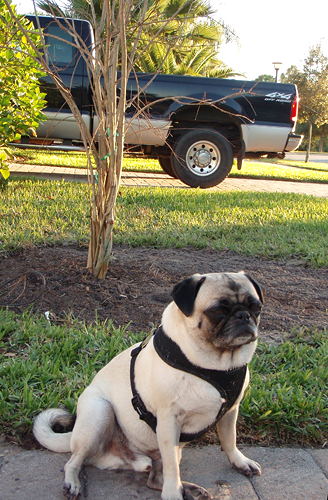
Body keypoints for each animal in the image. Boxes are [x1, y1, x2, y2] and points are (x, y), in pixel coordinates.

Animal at [33, 272, 264, 500]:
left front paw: (239, 461)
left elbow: (229, 440)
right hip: (99, 414)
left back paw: (190, 489)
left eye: (256, 307)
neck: (217, 365)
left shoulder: (230, 411)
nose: (243, 316)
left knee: (154, 480)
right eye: (217, 311)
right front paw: (172, 494)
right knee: (74, 460)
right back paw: (72, 483)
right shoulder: (168, 422)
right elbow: (172, 470)